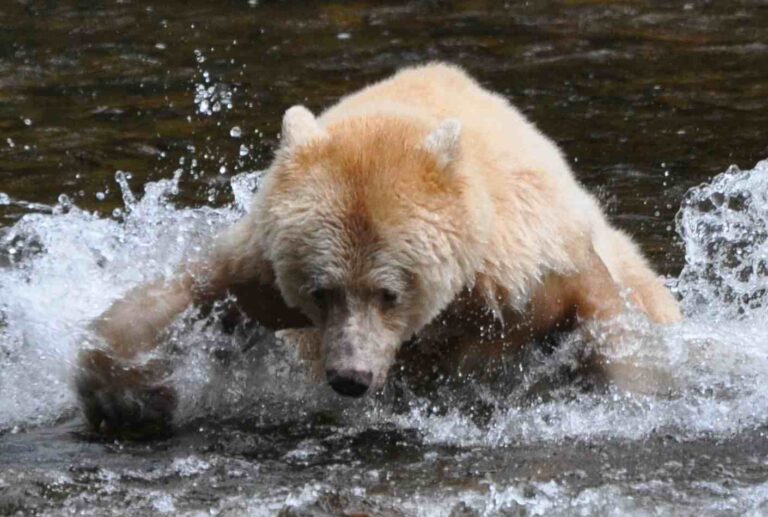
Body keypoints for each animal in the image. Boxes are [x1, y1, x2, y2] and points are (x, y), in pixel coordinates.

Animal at [75, 63, 681, 434]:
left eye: (389, 292)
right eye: (320, 291)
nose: (350, 377)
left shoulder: (526, 265)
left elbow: (603, 317)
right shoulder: (264, 271)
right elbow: (183, 291)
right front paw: (127, 398)